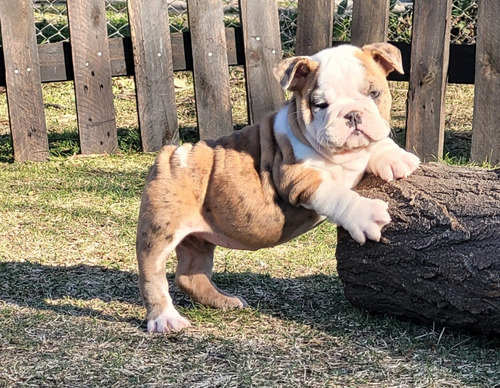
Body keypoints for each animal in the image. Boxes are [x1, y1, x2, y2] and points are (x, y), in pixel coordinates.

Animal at [136, 43, 418, 334]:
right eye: (320, 105)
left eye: (374, 94)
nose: (352, 114)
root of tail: (172, 154)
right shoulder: (299, 178)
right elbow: (338, 194)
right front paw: (366, 215)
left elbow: (376, 144)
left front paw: (395, 157)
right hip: (160, 230)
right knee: (152, 274)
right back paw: (165, 319)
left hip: (199, 240)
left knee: (190, 275)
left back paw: (224, 301)